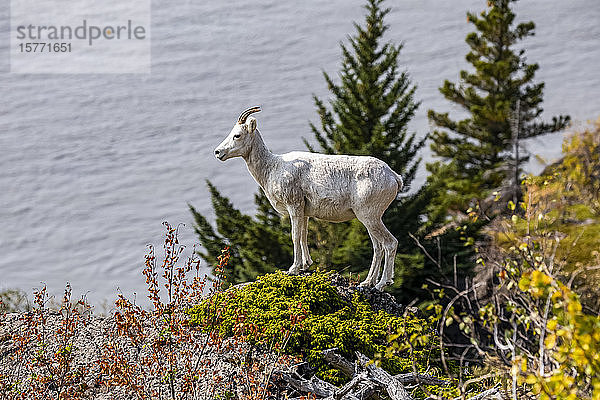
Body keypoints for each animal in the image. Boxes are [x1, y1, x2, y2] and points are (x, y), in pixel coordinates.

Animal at [216, 107, 404, 290]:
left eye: (237, 135)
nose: (218, 152)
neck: (272, 168)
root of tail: (394, 177)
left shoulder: (294, 206)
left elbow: (295, 236)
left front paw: (293, 269)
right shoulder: (304, 212)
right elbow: (303, 236)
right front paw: (306, 265)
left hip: (370, 217)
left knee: (389, 243)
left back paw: (381, 284)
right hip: (369, 219)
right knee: (378, 247)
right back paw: (367, 283)